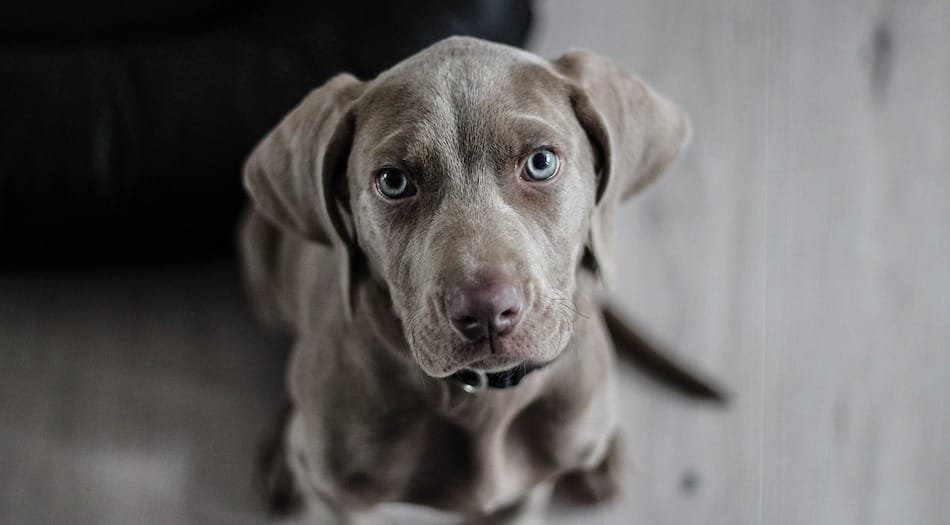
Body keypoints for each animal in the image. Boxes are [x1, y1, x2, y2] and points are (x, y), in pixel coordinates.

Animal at [240, 34, 692, 520]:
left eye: (541, 162)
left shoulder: (525, 494)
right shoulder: (339, 499)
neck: (482, 400)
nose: (487, 312)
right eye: (393, 181)